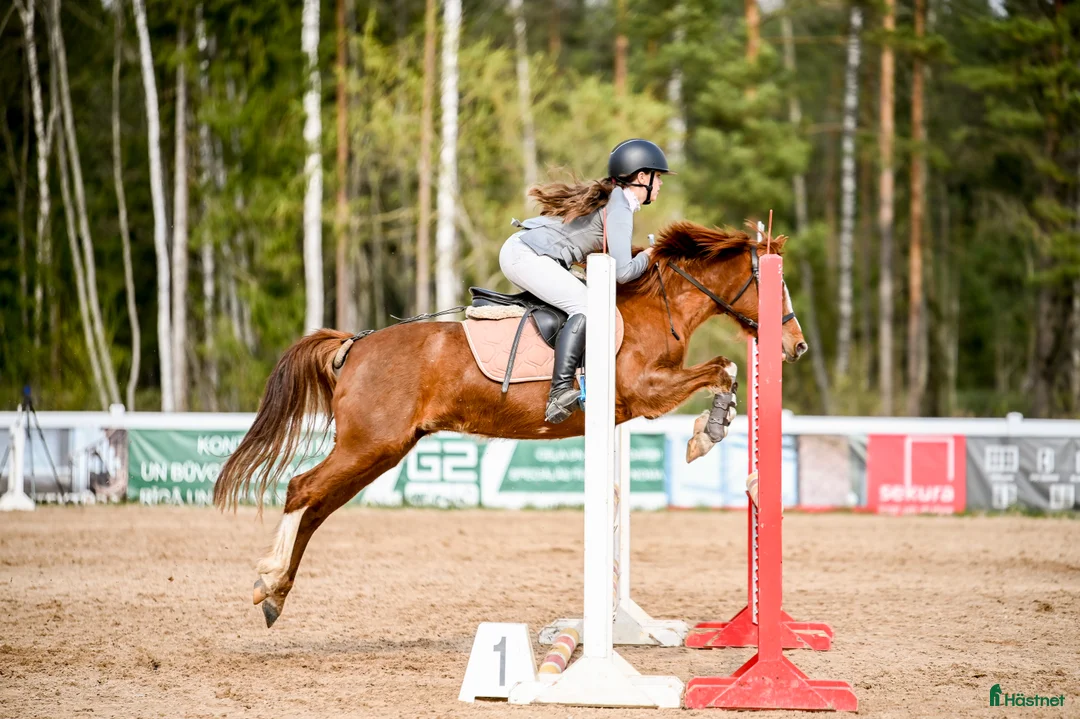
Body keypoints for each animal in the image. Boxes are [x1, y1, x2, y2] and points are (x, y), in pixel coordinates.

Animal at [213, 220, 807, 627]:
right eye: (773, 287)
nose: (796, 347)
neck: (654, 309)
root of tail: (353, 345)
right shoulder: (645, 390)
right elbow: (722, 367)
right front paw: (704, 436)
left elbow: (723, 371)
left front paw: (710, 429)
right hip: (369, 445)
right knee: (300, 490)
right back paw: (269, 579)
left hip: (378, 452)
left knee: (316, 508)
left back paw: (276, 595)